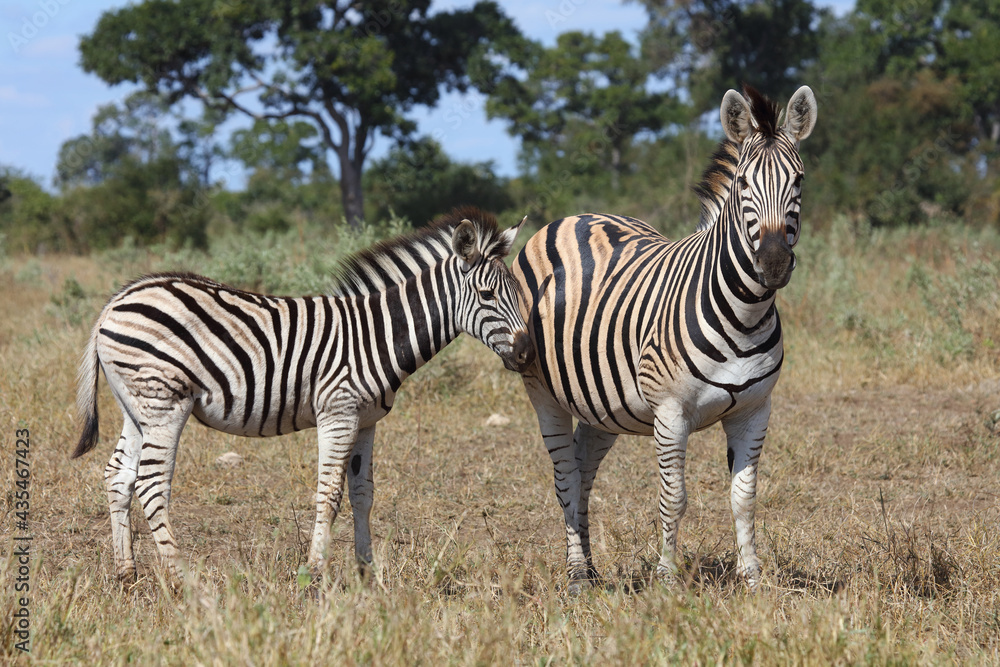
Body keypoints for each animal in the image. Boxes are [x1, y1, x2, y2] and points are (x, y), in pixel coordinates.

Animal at [72, 207, 534, 583]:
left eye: (517, 291)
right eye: (488, 295)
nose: (527, 352)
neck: (377, 334)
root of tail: (117, 299)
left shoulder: (366, 421)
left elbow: (363, 495)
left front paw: (367, 572)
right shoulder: (338, 413)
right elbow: (329, 494)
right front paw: (314, 572)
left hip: (137, 408)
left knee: (118, 476)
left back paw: (126, 573)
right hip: (164, 402)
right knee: (151, 482)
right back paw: (180, 577)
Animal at [511, 85, 817, 592]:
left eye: (799, 181)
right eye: (743, 185)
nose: (773, 264)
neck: (745, 312)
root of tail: (575, 216)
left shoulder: (755, 410)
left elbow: (744, 497)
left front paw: (753, 580)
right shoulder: (671, 414)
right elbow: (674, 498)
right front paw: (668, 581)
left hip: (602, 402)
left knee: (583, 469)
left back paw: (590, 569)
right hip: (542, 392)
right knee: (565, 476)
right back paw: (575, 576)